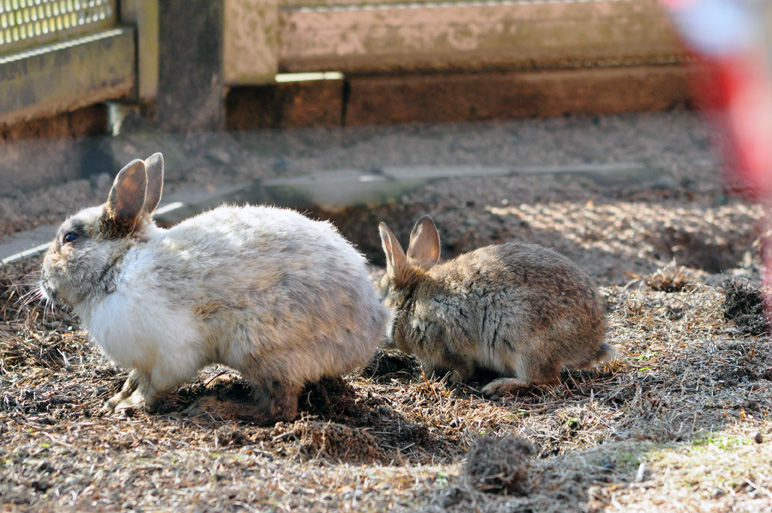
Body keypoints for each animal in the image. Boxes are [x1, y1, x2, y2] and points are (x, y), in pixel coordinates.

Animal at [39, 153, 390, 424]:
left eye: (70, 238)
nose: (42, 282)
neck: (117, 264)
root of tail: (372, 326)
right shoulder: (143, 362)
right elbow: (134, 379)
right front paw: (116, 399)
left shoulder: (168, 356)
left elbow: (152, 387)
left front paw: (130, 405)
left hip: (259, 349)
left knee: (280, 408)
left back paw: (214, 406)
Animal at [376, 212, 616, 396]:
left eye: (378, 299)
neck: (411, 302)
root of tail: (590, 345)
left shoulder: (448, 341)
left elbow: (462, 368)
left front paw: (449, 378)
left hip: (524, 344)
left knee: (547, 381)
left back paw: (498, 387)